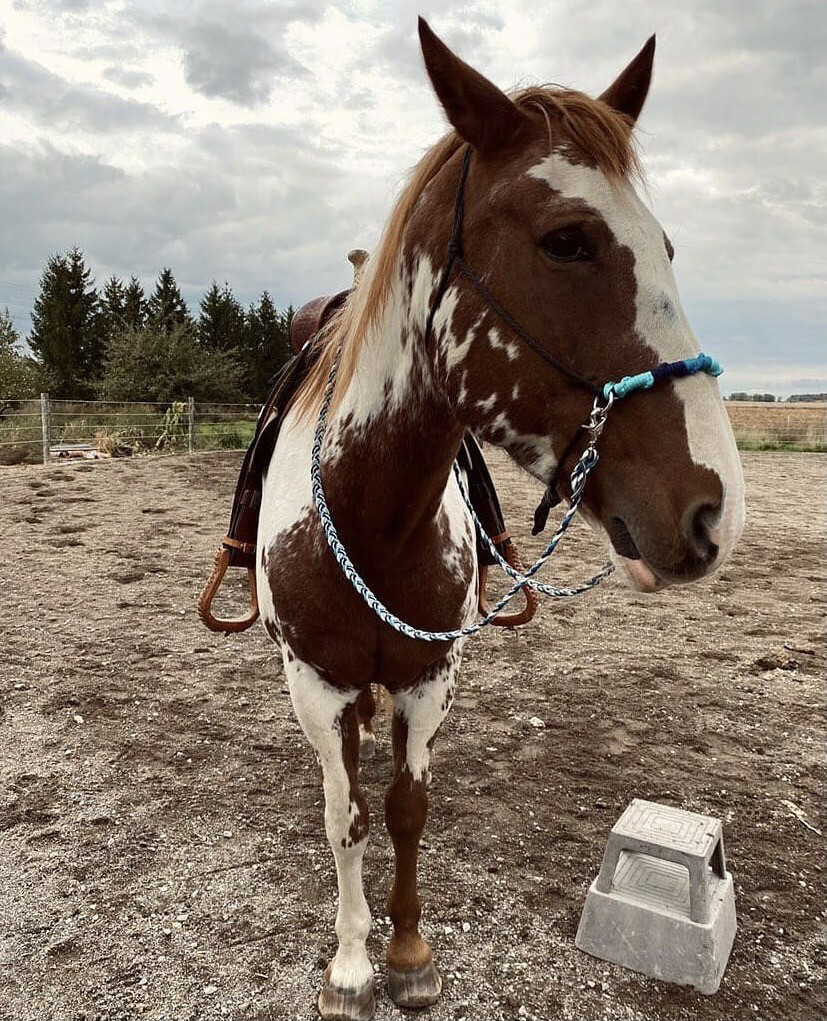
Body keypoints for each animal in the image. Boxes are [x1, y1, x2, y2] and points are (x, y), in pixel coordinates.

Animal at [253, 19, 739, 1016]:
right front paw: (350, 962)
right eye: (567, 241)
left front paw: (407, 954)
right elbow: (344, 815)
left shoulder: (429, 676)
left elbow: (403, 811)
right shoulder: (316, 684)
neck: (371, 517)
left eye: (667, 245)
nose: (715, 509)